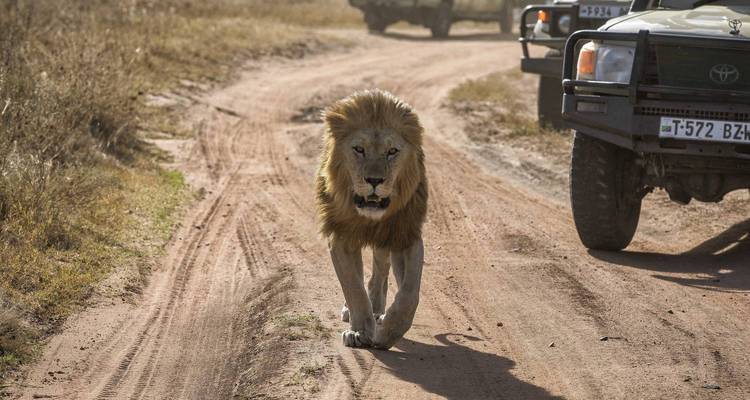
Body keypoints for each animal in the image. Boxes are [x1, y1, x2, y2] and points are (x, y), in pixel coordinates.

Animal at [316, 89, 428, 349]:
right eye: (358, 149)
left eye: (392, 151)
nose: (374, 180)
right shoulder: (340, 237)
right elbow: (353, 286)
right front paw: (359, 332)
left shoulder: (405, 234)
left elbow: (410, 293)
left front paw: (388, 332)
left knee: (380, 272)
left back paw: (378, 312)